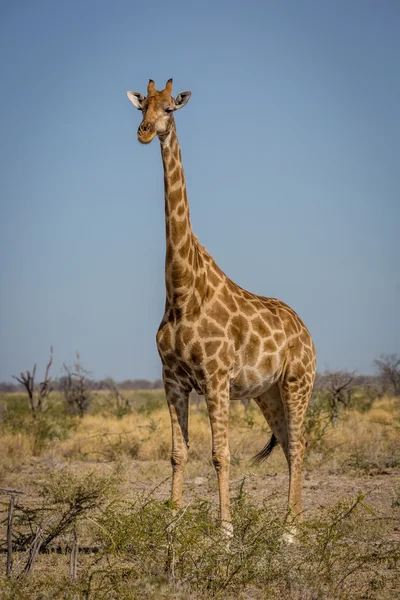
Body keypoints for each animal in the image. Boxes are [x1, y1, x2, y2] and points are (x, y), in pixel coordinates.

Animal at [127, 78, 316, 536]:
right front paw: (171, 526)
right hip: (268, 393)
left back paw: (290, 530)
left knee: (300, 444)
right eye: (141, 107)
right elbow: (178, 453)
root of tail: (306, 331)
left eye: (170, 109)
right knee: (291, 444)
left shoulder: (215, 378)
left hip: (298, 382)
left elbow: (219, 454)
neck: (181, 291)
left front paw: (226, 531)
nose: (144, 132)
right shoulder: (172, 380)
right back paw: (294, 524)